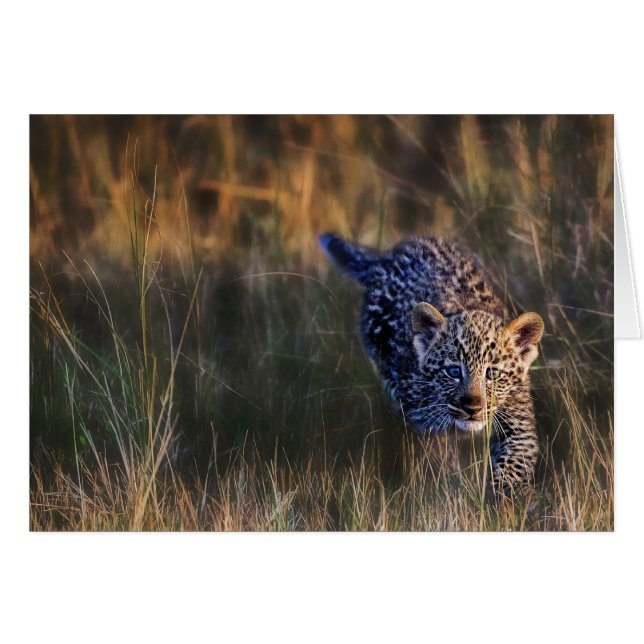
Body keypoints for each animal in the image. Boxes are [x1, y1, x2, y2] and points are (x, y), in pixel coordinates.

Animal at [320, 232, 545, 493]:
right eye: (453, 371)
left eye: (493, 374)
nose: (473, 408)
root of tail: (388, 258)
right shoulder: (418, 417)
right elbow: (434, 453)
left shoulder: (519, 425)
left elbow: (513, 464)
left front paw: (502, 498)